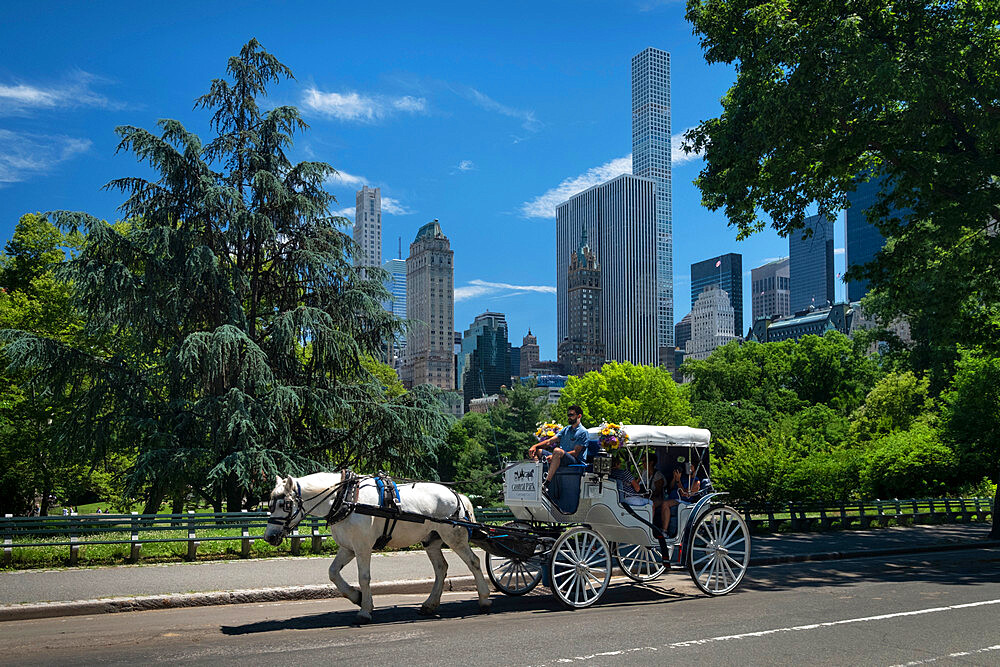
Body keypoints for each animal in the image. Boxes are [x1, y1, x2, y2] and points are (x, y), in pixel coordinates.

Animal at [260, 472, 490, 624]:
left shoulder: (362, 547)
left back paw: (484, 599)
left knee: (474, 562)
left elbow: (364, 577)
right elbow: (333, 572)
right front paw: (356, 597)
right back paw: (430, 604)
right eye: (269, 505)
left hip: (454, 537)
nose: (269, 536)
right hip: (431, 540)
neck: (345, 498)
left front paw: (364, 610)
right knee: (441, 568)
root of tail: (457, 494)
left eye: (285, 505)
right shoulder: (348, 548)